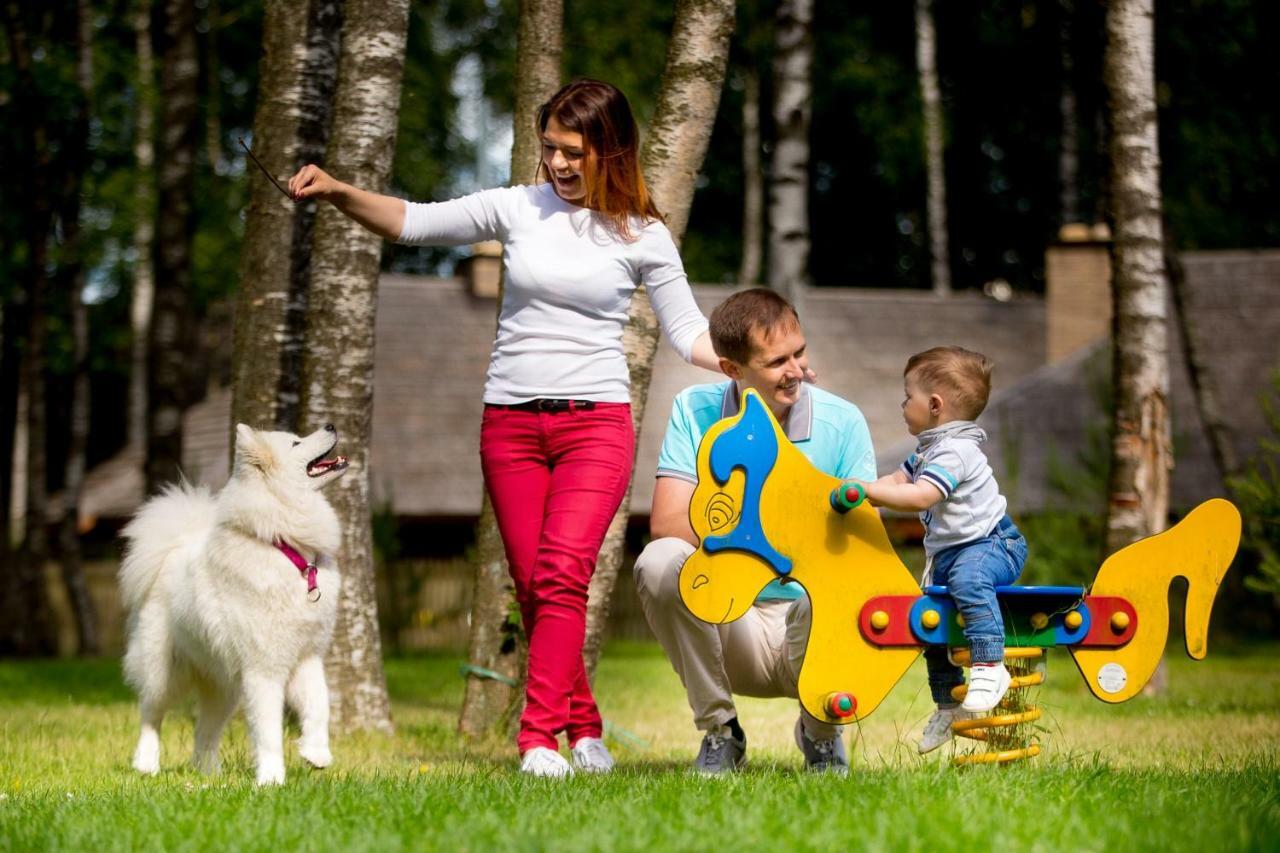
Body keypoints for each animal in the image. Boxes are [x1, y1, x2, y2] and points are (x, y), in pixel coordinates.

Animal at [120, 420, 348, 783]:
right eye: (296, 443)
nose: (330, 424)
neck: (289, 550)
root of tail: (172, 551)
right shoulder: (264, 670)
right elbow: (268, 730)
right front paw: (271, 779)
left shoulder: (307, 657)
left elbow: (319, 705)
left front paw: (316, 753)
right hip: (163, 673)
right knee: (150, 716)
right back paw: (147, 763)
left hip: (225, 686)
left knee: (205, 731)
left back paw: (209, 774)